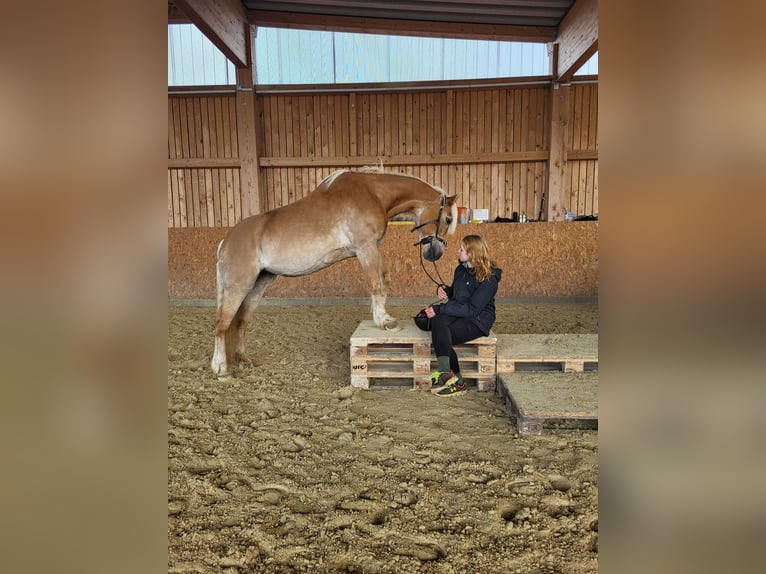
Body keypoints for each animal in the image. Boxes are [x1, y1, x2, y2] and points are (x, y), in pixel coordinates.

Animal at [210, 169, 460, 380]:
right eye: (447, 219)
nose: (435, 253)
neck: (372, 193)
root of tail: (225, 242)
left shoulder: (373, 249)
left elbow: (384, 281)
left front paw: (381, 316)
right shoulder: (365, 248)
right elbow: (376, 284)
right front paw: (384, 321)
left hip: (259, 283)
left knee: (241, 320)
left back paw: (243, 359)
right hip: (239, 287)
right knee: (222, 323)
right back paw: (221, 368)